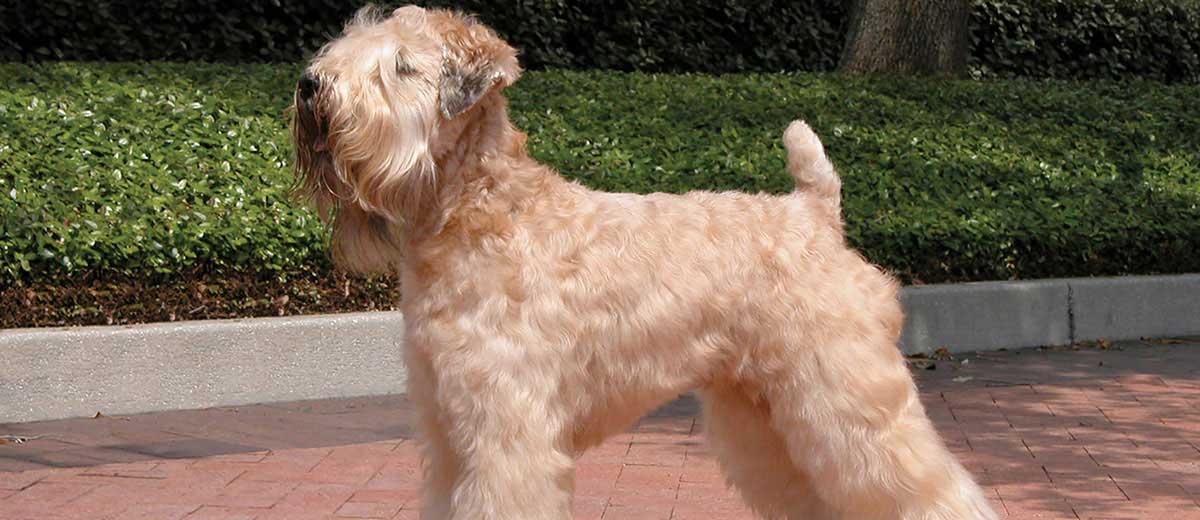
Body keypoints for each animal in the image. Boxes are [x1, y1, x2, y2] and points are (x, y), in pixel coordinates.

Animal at [292, 5, 1003, 518]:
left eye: (404, 66)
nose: (309, 85)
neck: (480, 213)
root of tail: (816, 212)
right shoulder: (447, 433)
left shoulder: (507, 435)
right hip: (767, 416)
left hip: (846, 400)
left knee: (931, 490)